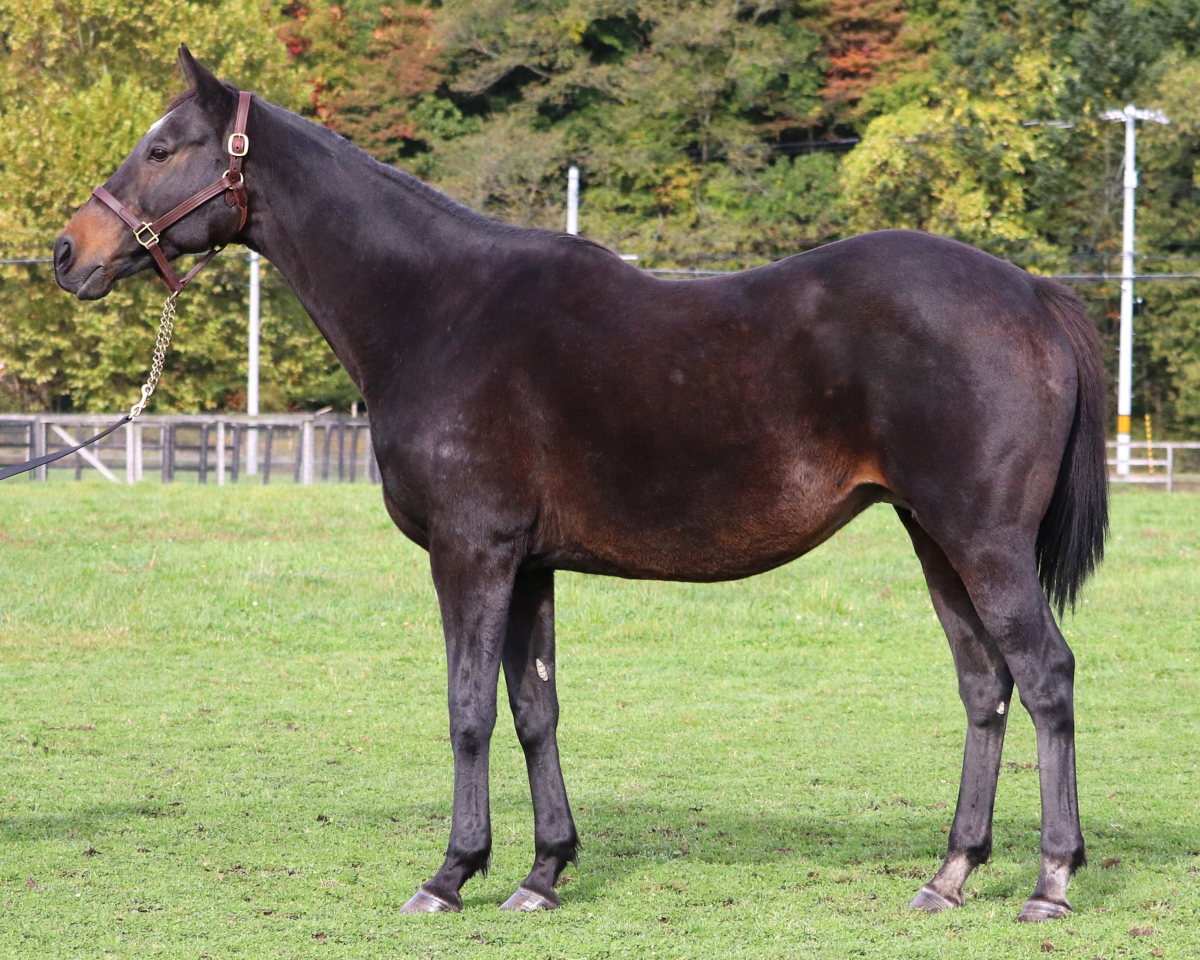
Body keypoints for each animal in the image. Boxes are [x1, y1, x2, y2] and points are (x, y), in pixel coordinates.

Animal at [54, 46, 1108, 921]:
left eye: (163, 147)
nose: (70, 253)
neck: (440, 309)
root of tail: (1030, 293)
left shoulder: (472, 553)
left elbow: (469, 709)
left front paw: (451, 875)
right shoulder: (530, 566)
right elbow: (535, 710)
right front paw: (542, 872)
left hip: (982, 542)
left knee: (1046, 675)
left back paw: (1051, 882)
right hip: (936, 540)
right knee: (985, 685)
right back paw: (951, 874)